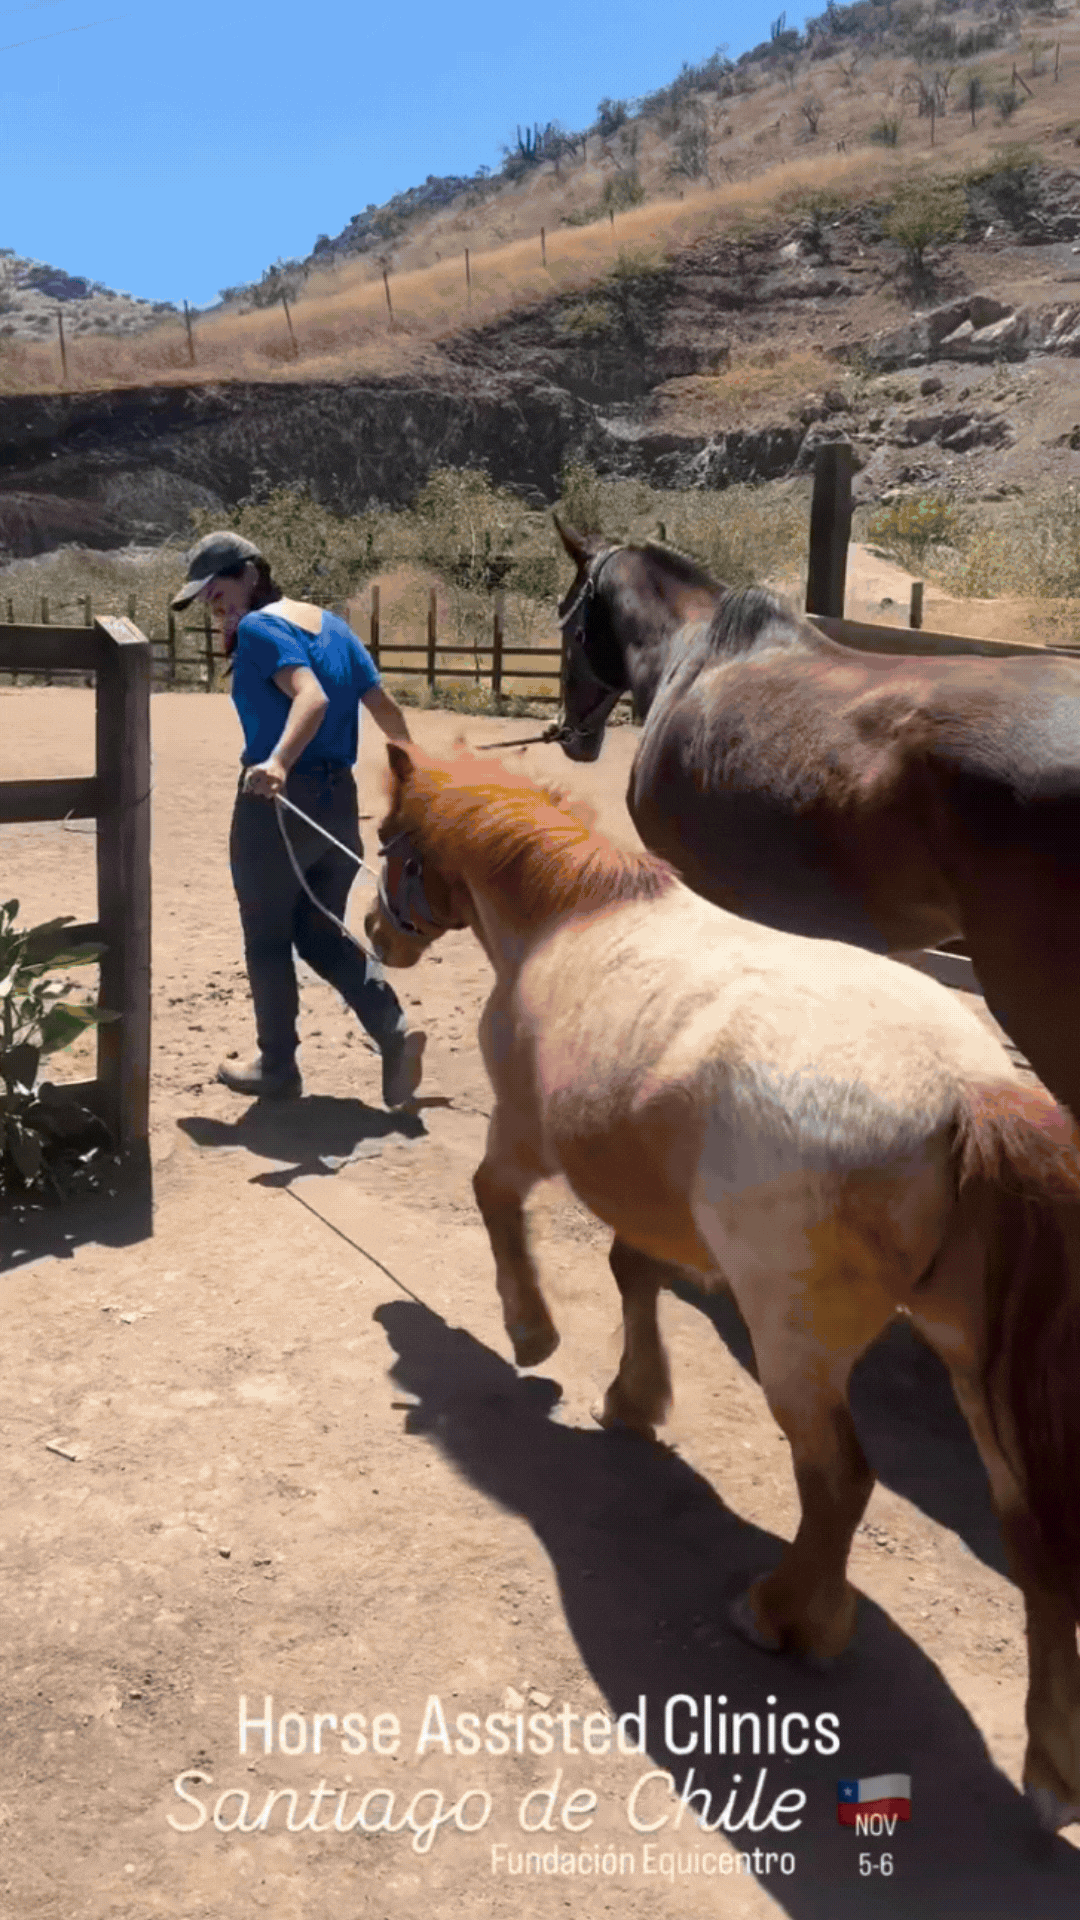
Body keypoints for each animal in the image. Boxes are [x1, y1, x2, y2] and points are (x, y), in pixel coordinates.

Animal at [364, 740, 1080, 1834]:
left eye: (387, 841)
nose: (370, 935)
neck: (571, 918)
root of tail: (971, 1090)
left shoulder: (526, 1139)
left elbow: (495, 1202)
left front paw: (532, 1335)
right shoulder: (642, 1191)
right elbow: (633, 1274)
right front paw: (633, 1399)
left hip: (797, 1346)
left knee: (839, 1482)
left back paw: (785, 1615)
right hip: (972, 1357)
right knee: (1033, 1538)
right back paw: (1051, 1768)